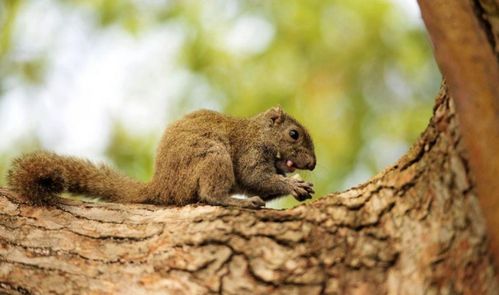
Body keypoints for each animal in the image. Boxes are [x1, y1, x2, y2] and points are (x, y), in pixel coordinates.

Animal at [6, 107, 316, 209]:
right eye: (294, 134)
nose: (312, 164)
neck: (259, 132)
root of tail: (162, 185)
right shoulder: (249, 151)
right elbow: (254, 178)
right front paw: (293, 184)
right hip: (212, 157)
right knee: (209, 195)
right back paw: (236, 201)